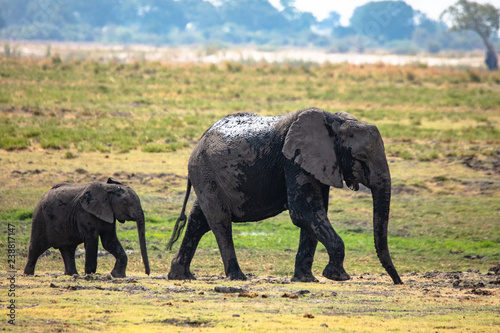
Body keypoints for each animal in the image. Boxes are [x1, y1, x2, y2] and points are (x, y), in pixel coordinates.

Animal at [167, 107, 402, 284]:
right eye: (360, 157)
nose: (397, 281)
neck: (336, 122)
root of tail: (200, 140)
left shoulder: (316, 163)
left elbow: (315, 214)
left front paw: (306, 280)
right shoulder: (293, 160)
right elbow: (304, 212)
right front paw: (337, 276)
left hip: (207, 175)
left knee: (199, 220)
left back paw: (181, 276)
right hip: (205, 171)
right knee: (220, 221)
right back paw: (237, 277)